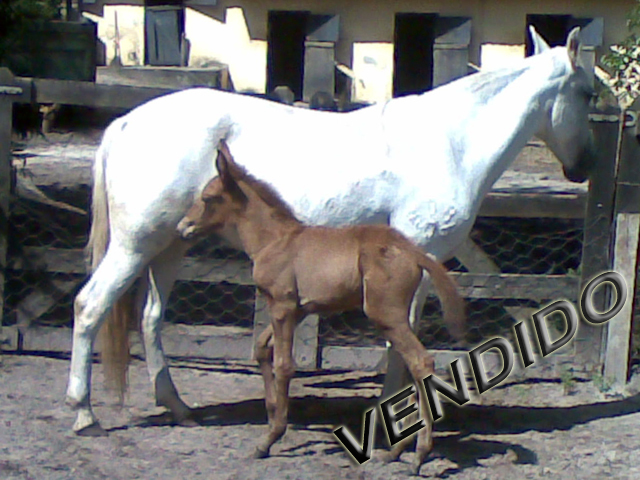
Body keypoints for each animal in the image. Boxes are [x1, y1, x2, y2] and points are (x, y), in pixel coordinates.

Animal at [66, 28, 596, 436]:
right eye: (588, 93)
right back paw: (84, 414)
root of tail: (126, 121)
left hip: (170, 244)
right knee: (90, 306)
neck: (450, 143)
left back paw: (178, 408)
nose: (583, 167)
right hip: (136, 245)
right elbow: (399, 341)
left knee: (151, 318)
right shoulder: (419, 256)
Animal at [176, 141, 464, 470]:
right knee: (407, 363)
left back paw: (419, 454)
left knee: (421, 362)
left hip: (384, 314)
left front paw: (270, 438)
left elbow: (284, 365)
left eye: (208, 198)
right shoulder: (298, 310)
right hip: (395, 316)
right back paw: (395, 451)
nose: (183, 227)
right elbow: (261, 348)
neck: (274, 240)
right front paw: (270, 412)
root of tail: (414, 252)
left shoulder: (283, 306)